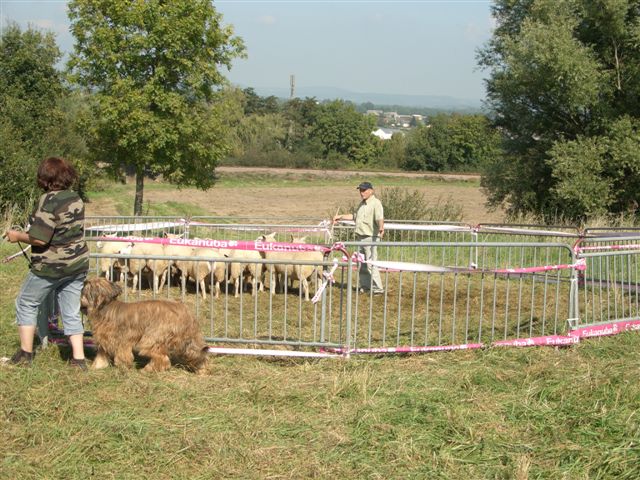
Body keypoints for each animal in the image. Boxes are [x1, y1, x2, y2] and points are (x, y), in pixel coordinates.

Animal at [80, 277, 209, 373]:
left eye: (87, 289)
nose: (84, 281)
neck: (105, 307)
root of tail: (184, 310)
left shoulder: (122, 339)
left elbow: (122, 354)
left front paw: (123, 367)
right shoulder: (104, 341)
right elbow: (101, 355)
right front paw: (96, 367)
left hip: (151, 337)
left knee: (162, 358)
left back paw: (147, 369)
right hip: (186, 340)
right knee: (196, 352)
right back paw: (201, 369)